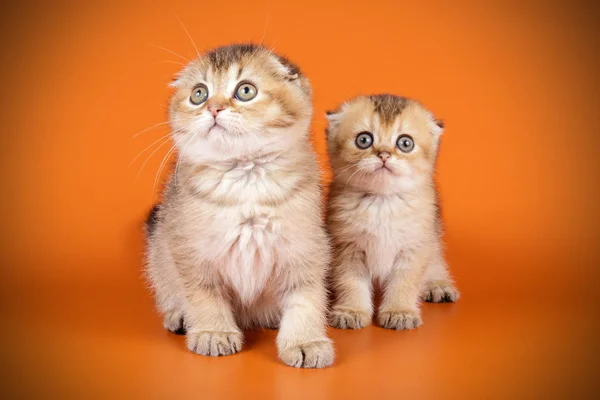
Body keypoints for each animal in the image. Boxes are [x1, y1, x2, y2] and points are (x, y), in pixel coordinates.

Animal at [145, 44, 332, 368]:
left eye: (245, 90)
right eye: (199, 94)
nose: (213, 108)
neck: (246, 179)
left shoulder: (305, 246)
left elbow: (305, 296)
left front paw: (305, 341)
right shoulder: (191, 249)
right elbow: (204, 294)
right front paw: (213, 332)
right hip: (158, 246)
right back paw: (178, 315)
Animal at [324, 94, 460, 332]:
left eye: (405, 143)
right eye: (364, 140)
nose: (384, 155)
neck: (382, 203)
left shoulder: (415, 246)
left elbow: (405, 282)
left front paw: (400, 311)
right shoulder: (346, 247)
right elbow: (350, 281)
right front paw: (351, 310)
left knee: (436, 260)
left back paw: (438, 284)